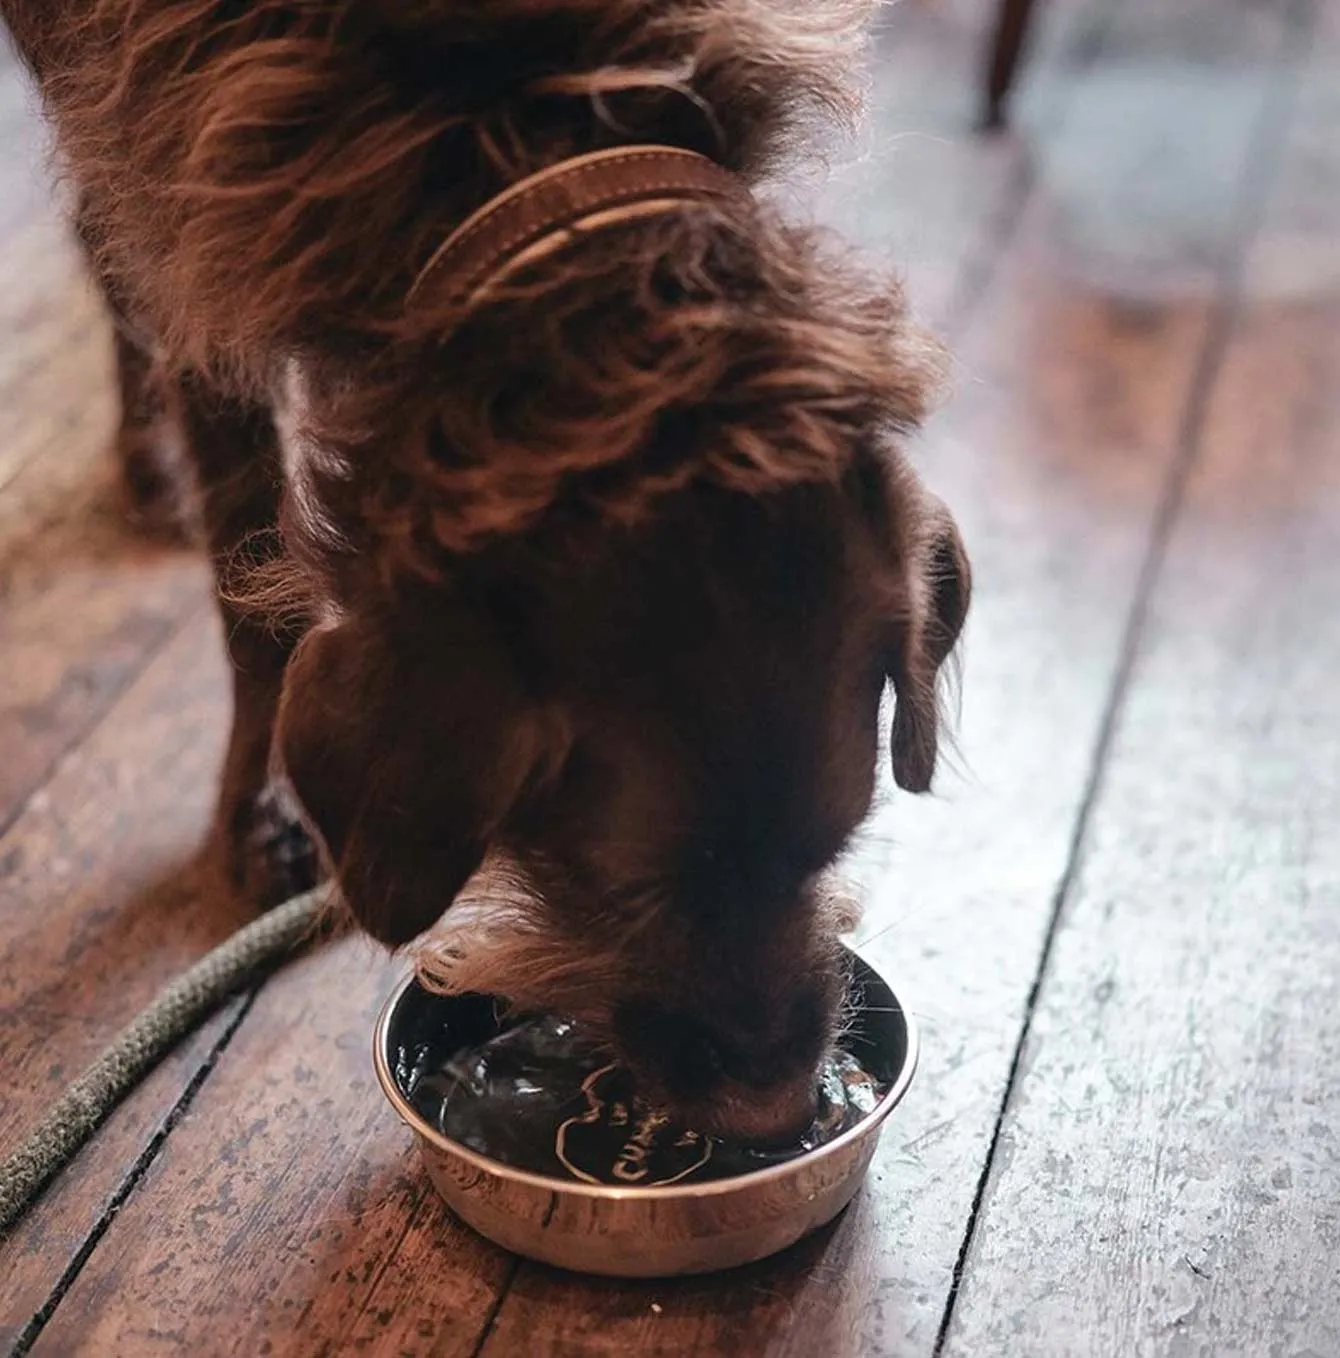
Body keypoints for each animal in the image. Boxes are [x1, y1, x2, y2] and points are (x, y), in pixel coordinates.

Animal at [7, 0, 972, 1140]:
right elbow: (251, 577)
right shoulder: (170, 180)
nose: (776, 1114)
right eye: (626, 887)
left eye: (838, 839)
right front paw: (262, 805)